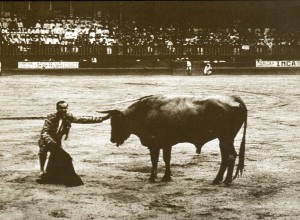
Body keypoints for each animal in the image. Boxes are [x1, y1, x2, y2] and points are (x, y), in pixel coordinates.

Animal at [99, 94, 247, 186]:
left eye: (116, 123)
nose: (112, 139)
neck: (145, 112)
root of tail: (234, 98)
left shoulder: (154, 144)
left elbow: (155, 160)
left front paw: (152, 178)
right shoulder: (167, 143)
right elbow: (167, 159)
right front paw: (166, 177)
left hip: (226, 137)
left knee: (230, 156)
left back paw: (225, 181)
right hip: (224, 139)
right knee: (226, 157)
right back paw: (218, 180)